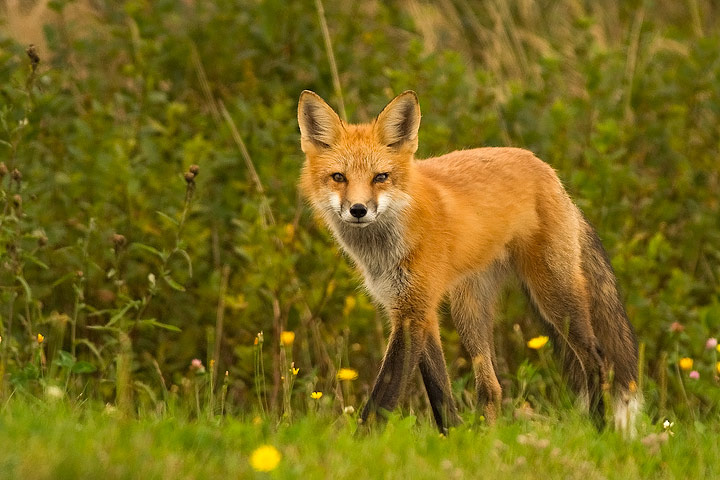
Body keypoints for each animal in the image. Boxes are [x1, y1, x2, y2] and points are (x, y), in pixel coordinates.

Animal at [297, 89, 640, 435]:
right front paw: (453, 437)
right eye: (338, 177)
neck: (384, 249)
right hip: (470, 311)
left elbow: (384, 395)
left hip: (554, 293)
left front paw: (361, 441)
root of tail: (547, 170)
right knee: (491, 387)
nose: (358, 210)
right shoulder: (414, 308)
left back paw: (599, 429)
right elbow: (439, 391)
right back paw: (490, 437)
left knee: (596, 359)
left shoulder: (414, 310)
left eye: (380, 177)